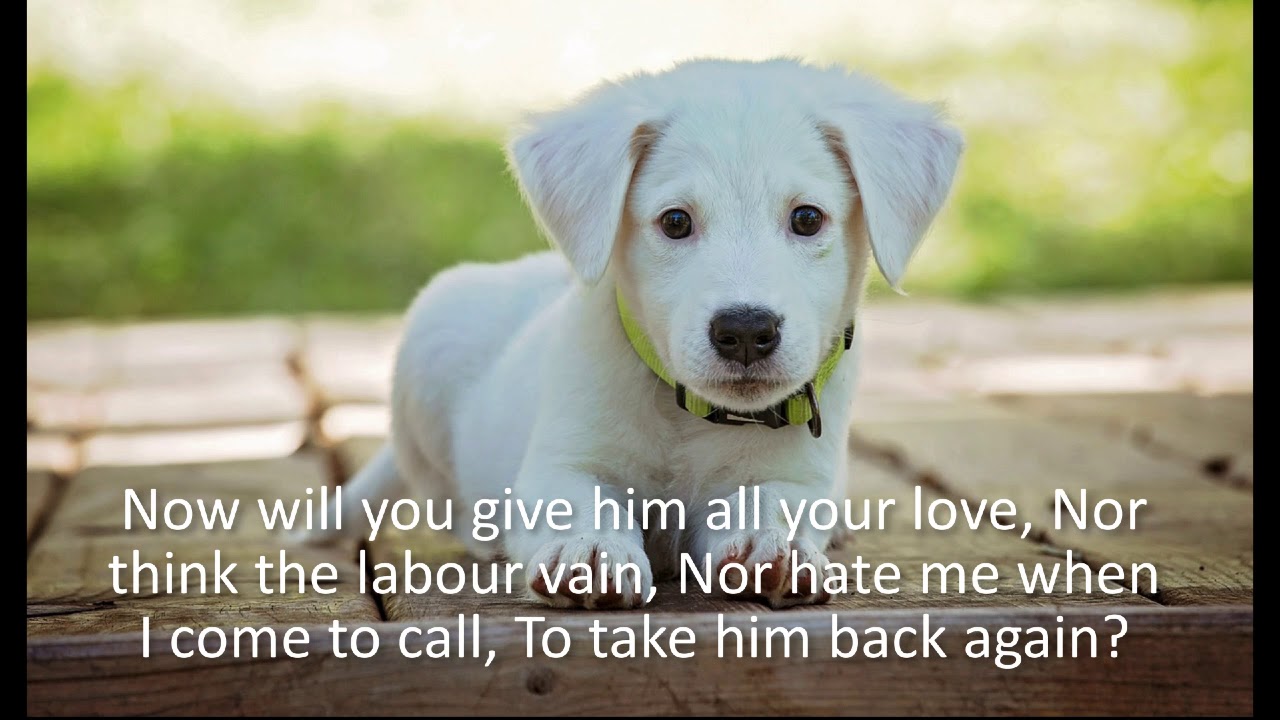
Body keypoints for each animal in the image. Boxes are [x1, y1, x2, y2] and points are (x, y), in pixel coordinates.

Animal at [307, 57, 962, 604]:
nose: (746, 331)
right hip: (430, 348)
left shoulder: (795, 474)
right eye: (674, 222)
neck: (690, 416)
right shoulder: (563, 462)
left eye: (807, 218)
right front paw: (590, 552)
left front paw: (771, 546)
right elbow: (582, 503)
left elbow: (776, 501)